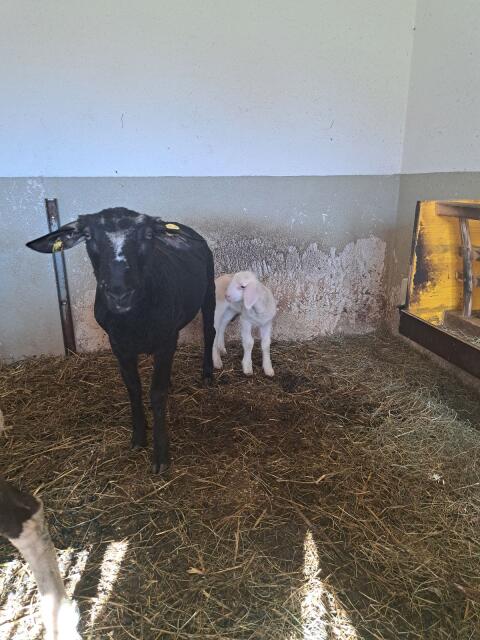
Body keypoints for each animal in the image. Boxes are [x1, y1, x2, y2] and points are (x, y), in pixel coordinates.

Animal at [27, 208, 216, 474]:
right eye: (88, 236)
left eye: (148, 235)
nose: (119, 292)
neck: (134, 319)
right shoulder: (118, 344)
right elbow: (133, 388)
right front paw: (138, 438)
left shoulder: (166, 340)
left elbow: (156, 394)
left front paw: (160, 456)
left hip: (209, 286)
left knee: (210, 331)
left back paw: (208, 373)